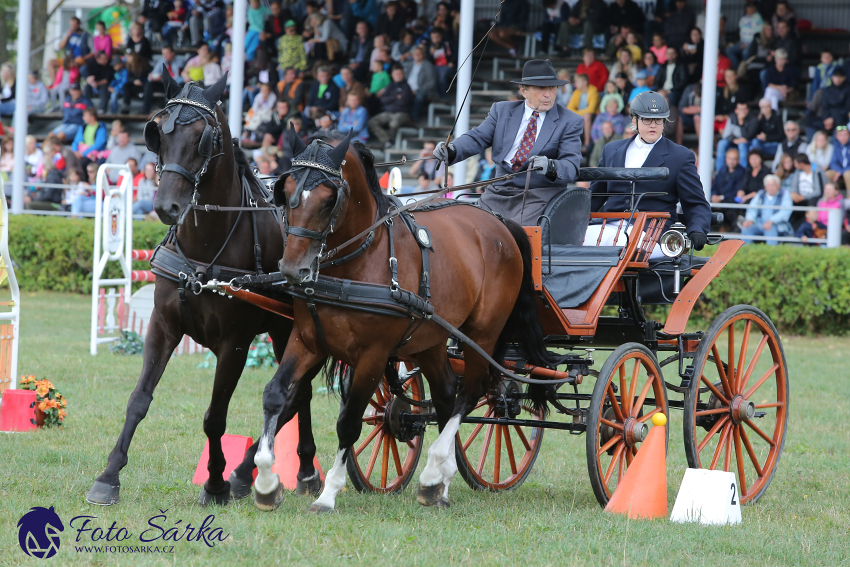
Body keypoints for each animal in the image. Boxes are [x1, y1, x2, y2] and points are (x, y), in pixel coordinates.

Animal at [88, 72, 322, 510]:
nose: (166, 206)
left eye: (203, 137)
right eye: (157, 131)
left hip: (294, 331)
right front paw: (108, 476)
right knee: (300, 396)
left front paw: (215, 484)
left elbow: (215, 417)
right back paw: (299, 471)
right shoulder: (162, 326)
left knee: (293, 395)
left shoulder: (235, 344)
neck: (203, 248)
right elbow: (138, 399)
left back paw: (254, 473)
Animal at [248, 131, 548, 512]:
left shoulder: (373, 356)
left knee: (470, 393)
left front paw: (328, 494)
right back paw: (440, 485)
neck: (359, 259)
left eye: (329, 199)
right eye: (285, 191)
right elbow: (275, 395)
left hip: (482, 334)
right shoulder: (306, 340)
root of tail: (500, 224)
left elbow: (349, 422)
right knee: (447, 394)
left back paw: (434, 472)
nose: (291, 269)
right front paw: (266, 483)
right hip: (432, 337)